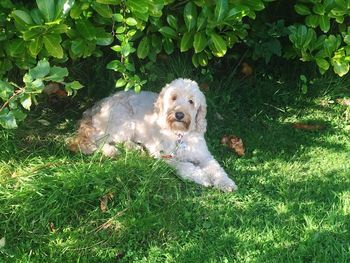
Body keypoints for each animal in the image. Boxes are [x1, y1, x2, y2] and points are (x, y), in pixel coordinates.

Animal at [69, 78, 237, 192]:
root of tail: (96, 106)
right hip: (123, 122)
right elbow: (185, 165)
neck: (179, 135)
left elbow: (216, 168)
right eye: (174, 97)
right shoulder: (165, 155)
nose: (179, 114)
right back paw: (111, 151)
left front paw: (226, 183)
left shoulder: (204, 155)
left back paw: (134, 148)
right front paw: (202, 177)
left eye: (191, 101)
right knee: (96, 139)